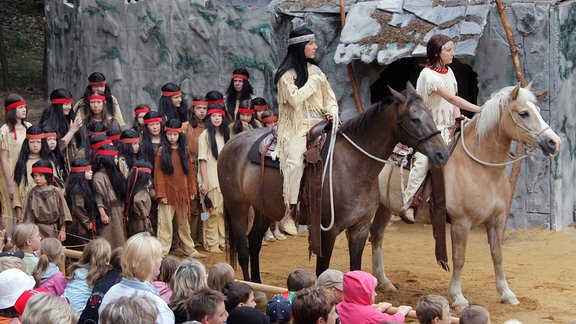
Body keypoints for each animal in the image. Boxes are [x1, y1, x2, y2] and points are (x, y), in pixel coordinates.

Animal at [218, 83, 452, 284]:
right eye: (414, 118)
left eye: (430, 115)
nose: (442, 154)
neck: (353, 166)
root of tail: (231, 142)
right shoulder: (327, 232)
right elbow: (322, 271)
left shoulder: (360, 228)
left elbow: (355, 268)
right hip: (238, 207)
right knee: (243, 249)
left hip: (263, 209)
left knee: (254, 242)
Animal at [368, 83, 564, 308]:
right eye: (524, 113)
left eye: (539, 110)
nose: (554, 142)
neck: (481, 168)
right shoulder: (461, 223)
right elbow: (459, 258)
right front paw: (458, 297)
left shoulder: (497, 220)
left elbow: (497, 255)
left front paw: (506, 293)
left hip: (384, 206)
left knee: (377, 235)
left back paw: (384, 282)